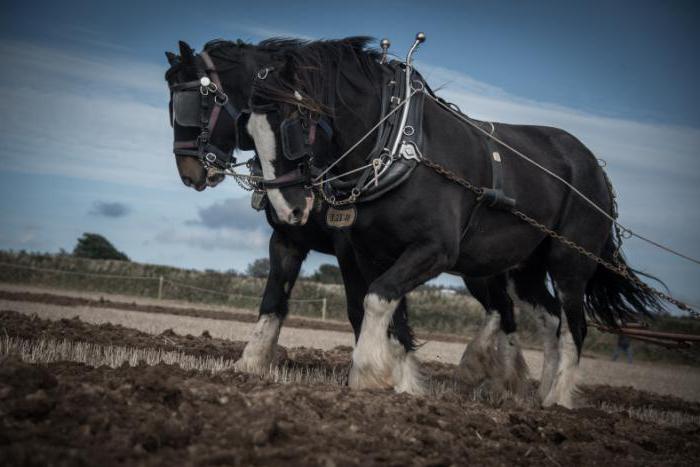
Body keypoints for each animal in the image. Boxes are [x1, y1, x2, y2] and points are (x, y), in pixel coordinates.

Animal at [246, 36, 660, 408]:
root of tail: (595, 168)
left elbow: (375, 300)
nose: (287, 210)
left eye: (292, 126)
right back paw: (535, 391)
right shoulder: (371, 254)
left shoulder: (434, 251)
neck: (398, 145)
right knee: (547, 319)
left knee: (573, 327)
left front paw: (367, 374)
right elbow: (390, 311)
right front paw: (401, 382)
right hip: (524, 267)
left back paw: (556, 400)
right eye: (249, 132)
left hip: (569, 262)